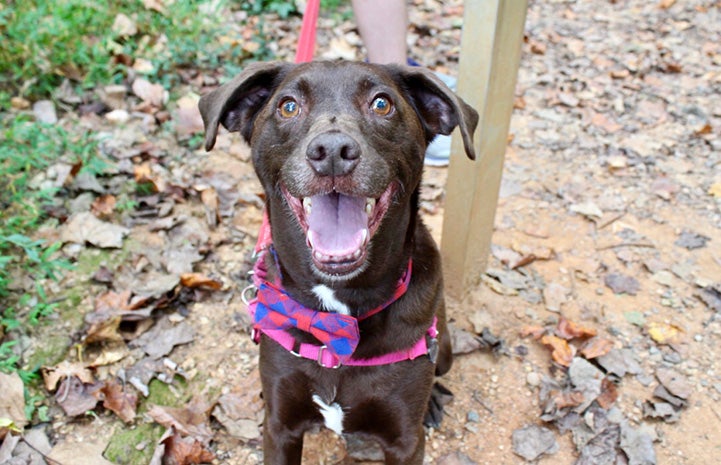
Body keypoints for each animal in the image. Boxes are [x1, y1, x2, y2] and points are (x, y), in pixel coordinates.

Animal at [198, 59, 478, 462]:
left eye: (381, 103)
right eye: (288, 106)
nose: (332, 150)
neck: (339, 317)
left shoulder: (405, 441)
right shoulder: (279, 427)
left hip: (445, 349)